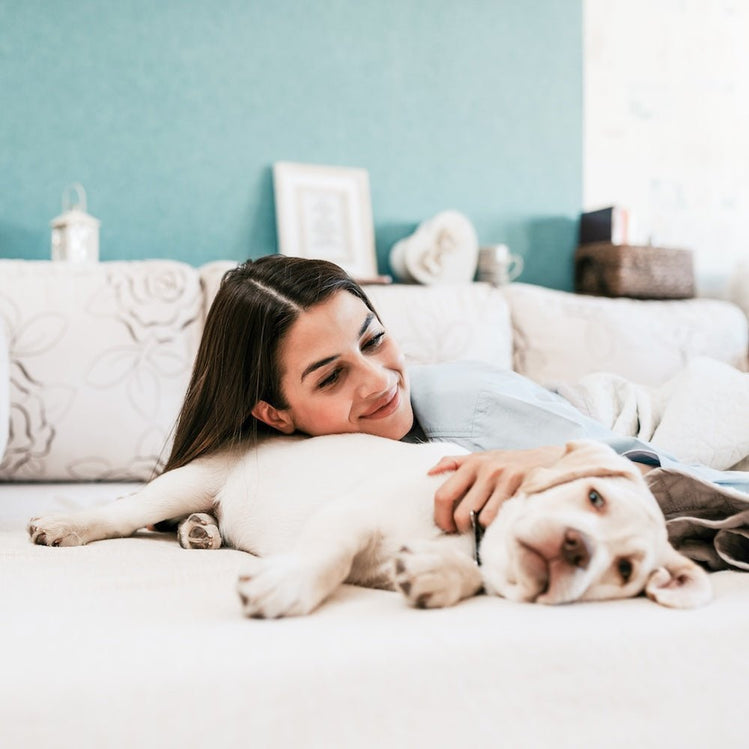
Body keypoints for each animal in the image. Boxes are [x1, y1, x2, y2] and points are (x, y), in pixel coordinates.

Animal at [27, 432, 708, 612]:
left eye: (624, 570)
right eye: (593, 499)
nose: (575, 549)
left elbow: (461, 576)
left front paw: (435, 578)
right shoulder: (350, 516)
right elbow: (329, 556)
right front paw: (287, 586)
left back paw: (202, 531)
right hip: (190, 477)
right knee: (125, 513)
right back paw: (63, 524)